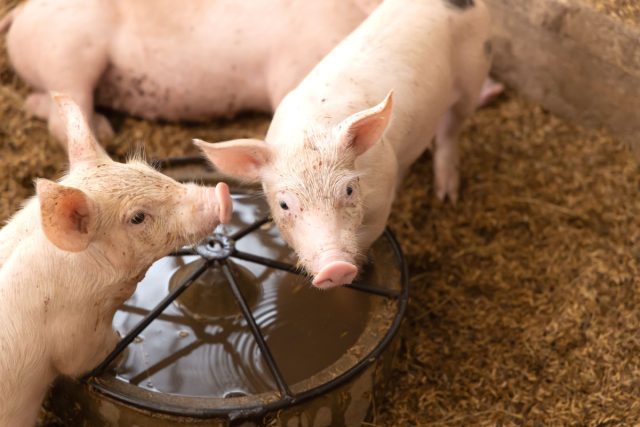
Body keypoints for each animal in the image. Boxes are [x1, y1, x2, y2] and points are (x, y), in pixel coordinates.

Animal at [0, 94, 232, 427]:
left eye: (151, 170)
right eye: (137, 217)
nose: (222, 193)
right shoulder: (76, 335)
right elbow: (87, 359)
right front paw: (124, 352)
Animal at [1, 0, 380, 145]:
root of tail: (21, 12)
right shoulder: (292, 71)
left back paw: (104, 128)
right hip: (69, 55)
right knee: (64, 121)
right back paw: (105, 138)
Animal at [195, 0, 496, 290]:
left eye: (349, 190)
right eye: (284, 205)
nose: (335, 267)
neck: (309, 131)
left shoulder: (381, 202)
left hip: (474, 73)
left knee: (451, 129)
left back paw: (446, 196)